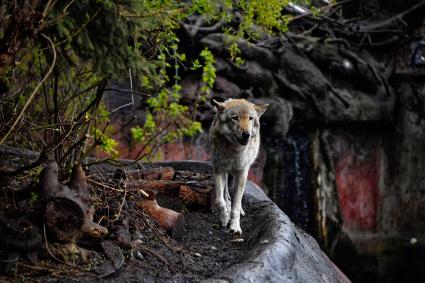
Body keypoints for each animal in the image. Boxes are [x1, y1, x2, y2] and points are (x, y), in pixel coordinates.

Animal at [209, 98, 268, 234]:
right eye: (235, 118)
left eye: (250, 118)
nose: (246, 134)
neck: (233, 151)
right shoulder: (219, 170)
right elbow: (220, 200)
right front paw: (224, 218)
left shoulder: (241, 173)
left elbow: (236, 203)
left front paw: (235, 227)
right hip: (226, 174)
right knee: (226, 195)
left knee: (236, 198)